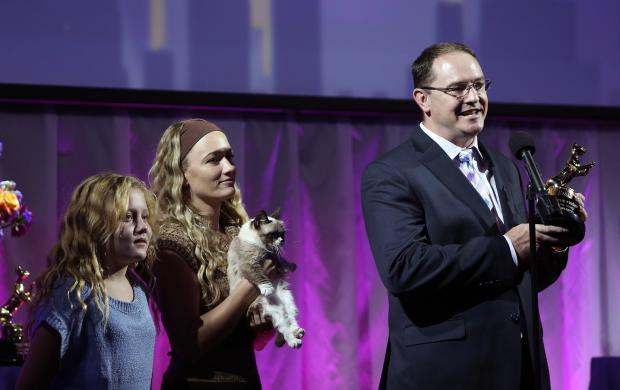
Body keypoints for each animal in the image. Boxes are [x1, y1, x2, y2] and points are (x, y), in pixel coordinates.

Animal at [228, 209, 306, 348]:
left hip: (288, 302)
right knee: (283, 328)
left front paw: (291, 266)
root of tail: (278, 302)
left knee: (289, 320)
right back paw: (294, 342)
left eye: (283, 234)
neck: (263, 247)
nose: (282, 241)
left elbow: (281, 260)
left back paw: (298, 332)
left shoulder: (272, 255)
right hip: (273, 310)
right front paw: (267, 288)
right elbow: (259, 276)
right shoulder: (250, 263)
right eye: (274, 234)